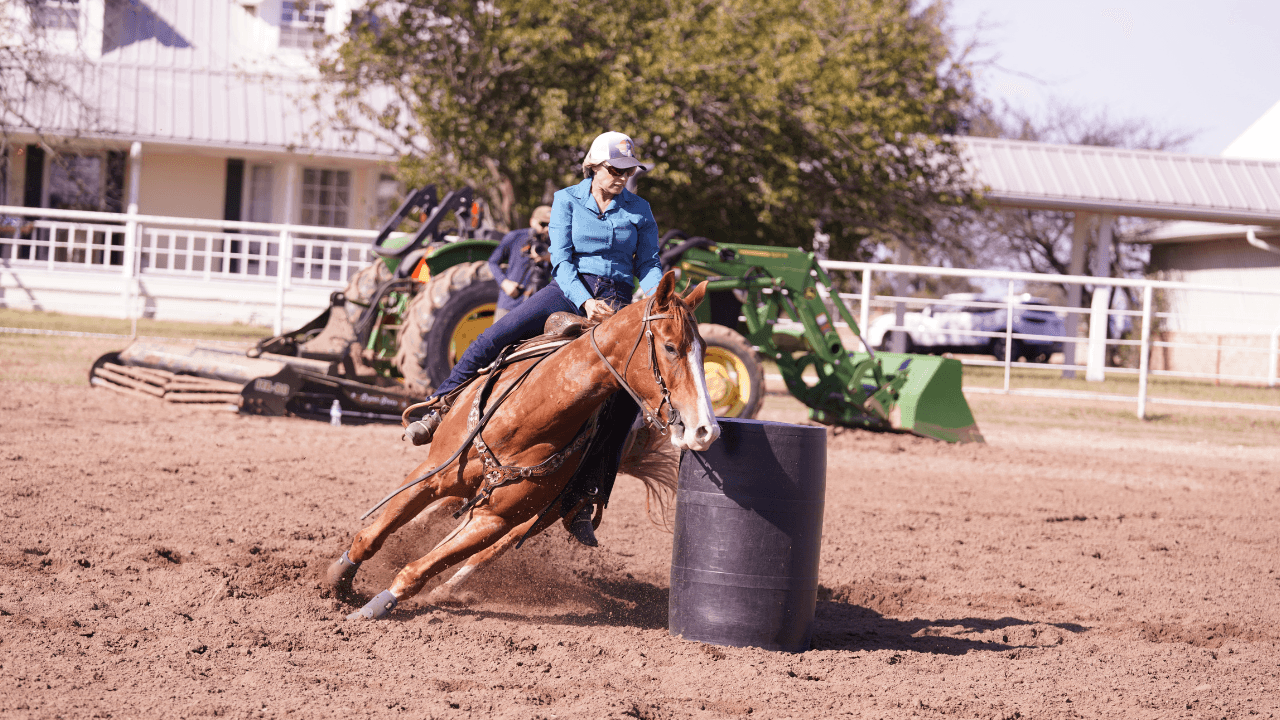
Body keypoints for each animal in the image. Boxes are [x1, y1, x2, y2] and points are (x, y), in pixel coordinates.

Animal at [324, 272, 720, 620]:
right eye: (670, 347)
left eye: (704, 351)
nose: (706, 430)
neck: (529, 413)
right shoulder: (431, 474)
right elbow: (370, 536)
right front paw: (338, 581)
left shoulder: (497, 518)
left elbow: (422, 568)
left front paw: (374, 607)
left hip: (546, 510)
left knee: (485, 549)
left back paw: (448, 589)